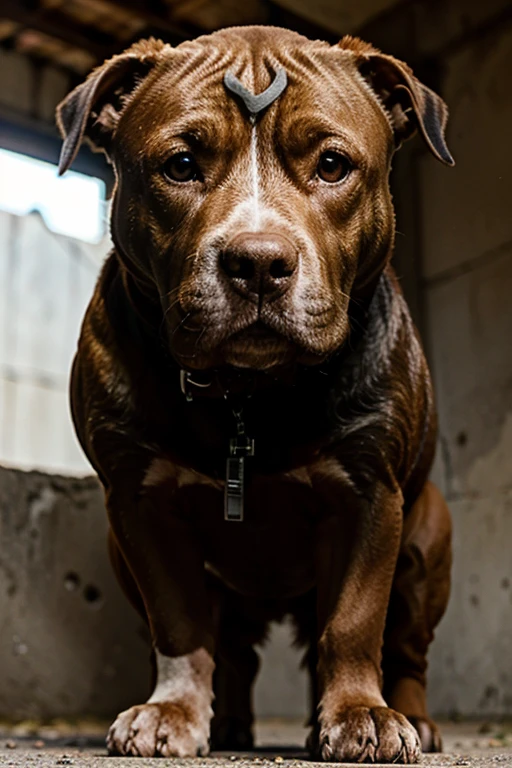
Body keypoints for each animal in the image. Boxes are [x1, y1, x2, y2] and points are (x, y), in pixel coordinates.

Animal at [58, 25, 454, 760]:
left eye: (333, 165)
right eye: (181, 164)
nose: (260, 263)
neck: (250, 390)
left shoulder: (370, 494)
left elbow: (354, 621)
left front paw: (362, 715)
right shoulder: (137, 501)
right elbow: (179, 623)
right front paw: (173, 714)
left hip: (426, 545)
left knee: (406, 649)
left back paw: (412, 717)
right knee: (233, 649)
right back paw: (230, 723)